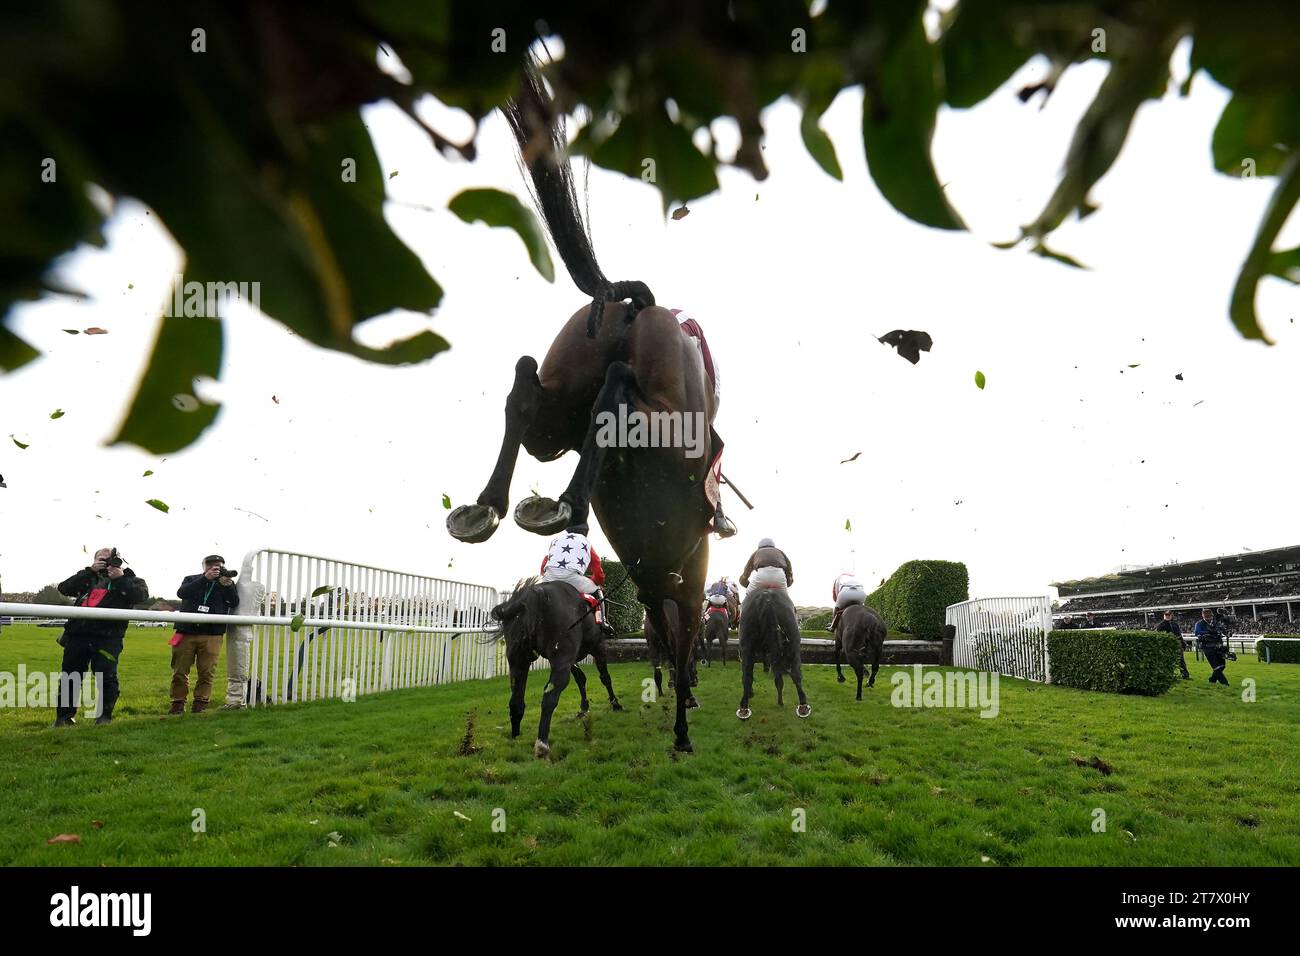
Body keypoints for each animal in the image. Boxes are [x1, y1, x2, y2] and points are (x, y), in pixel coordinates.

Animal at [491, 580, 624, 759]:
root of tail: (532, 596)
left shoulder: (571, 659)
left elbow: (581, 678)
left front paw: (584, 708)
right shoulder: (597, 647)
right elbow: (605, 677)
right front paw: (615, 703)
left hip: (518, 660)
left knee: (516, 699)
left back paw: (515, 736)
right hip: (561, 660)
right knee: (549, 697)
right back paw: (542, 744)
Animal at [738, 587, 806, 723]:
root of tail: (766, 597)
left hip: (748, 647)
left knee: (747, 676)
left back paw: (744, 708)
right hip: (793, 644)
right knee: (795, 674)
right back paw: (802, 706)